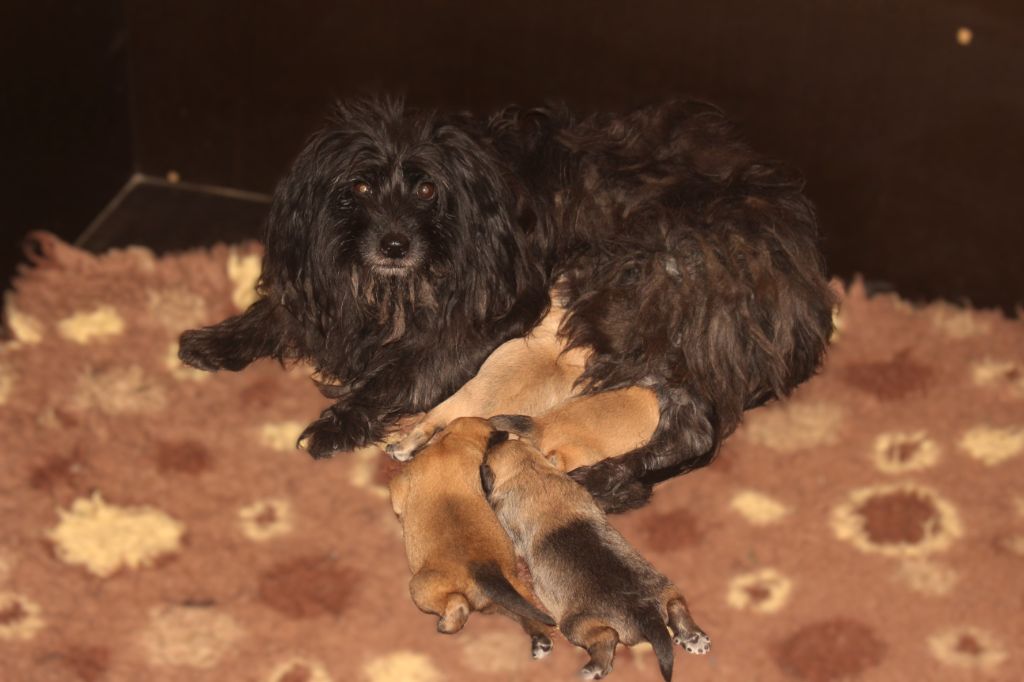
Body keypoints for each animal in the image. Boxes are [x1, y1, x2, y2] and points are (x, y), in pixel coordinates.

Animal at [180, 95, 835, 509]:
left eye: (426, 188)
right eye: (359, 187)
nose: (394, 243)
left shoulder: (481, 322)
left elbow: (400, 372)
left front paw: (338, 423)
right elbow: (278, 314)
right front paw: (216, 340)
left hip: (628, 300)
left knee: (694, 430)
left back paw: (610, 479)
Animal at [387, 413, 557, 655]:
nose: (506, 435)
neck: (453, 442)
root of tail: (484, 572)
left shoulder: (401, 486)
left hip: (421, 587)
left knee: (457, 605)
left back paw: (448, 622)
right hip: (514, 593)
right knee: (531, 616)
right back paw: (541, 640)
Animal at [481, 432, 712, 675]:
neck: (530, 470)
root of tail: (647, 613)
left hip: (575, 625)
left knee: (607, 639)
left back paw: (591, 670)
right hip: (667, 589)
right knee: (677, 607)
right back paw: (694, 637)